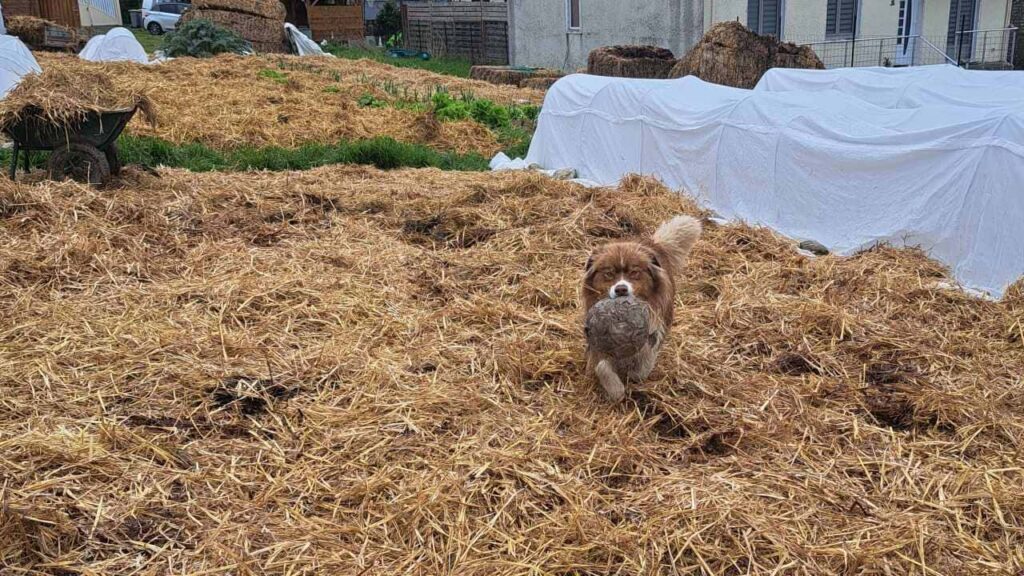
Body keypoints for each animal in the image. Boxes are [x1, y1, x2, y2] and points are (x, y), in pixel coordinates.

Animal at [585, 215, 704, 399]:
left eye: (634, 273)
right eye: (609, 274)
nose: (621, 289)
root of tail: (654, 243)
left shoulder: (656, 329)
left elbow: (645, 361)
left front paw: (635, 375)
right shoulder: (596, 338)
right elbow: (602, 366)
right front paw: (615, 390)